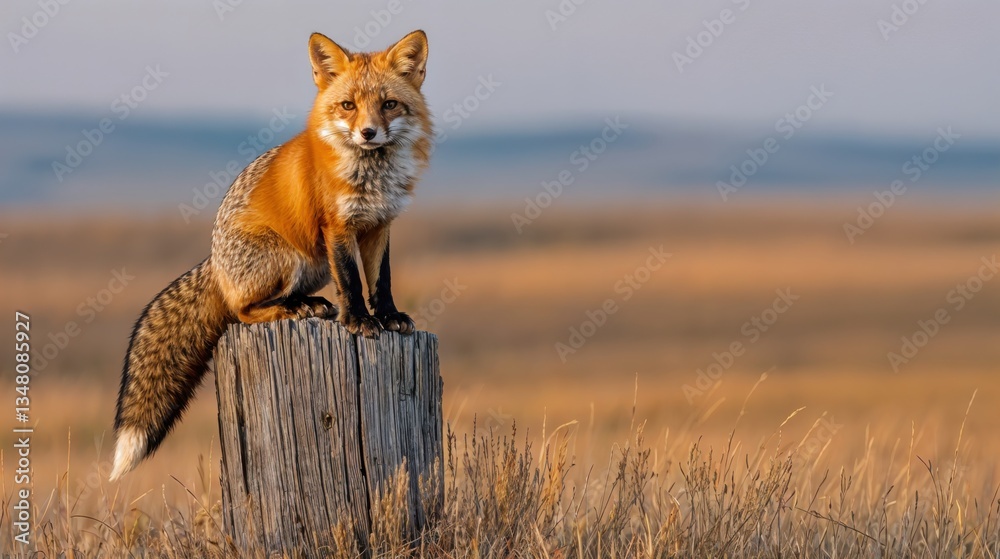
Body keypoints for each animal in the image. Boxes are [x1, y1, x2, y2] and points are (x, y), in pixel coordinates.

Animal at [110, 30, 433, 481]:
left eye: (389, 105)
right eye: (348, 106)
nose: (368, 133)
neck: (371, 175)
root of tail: (214, 263)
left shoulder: (379, 224)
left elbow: (379, 281)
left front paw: (387, 317)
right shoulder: (337, 227)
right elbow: (352, 281)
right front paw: (358, 321)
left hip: (312, 265)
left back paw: (307, 305)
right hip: (288, 258)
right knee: (241, 312)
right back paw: (294, 309)